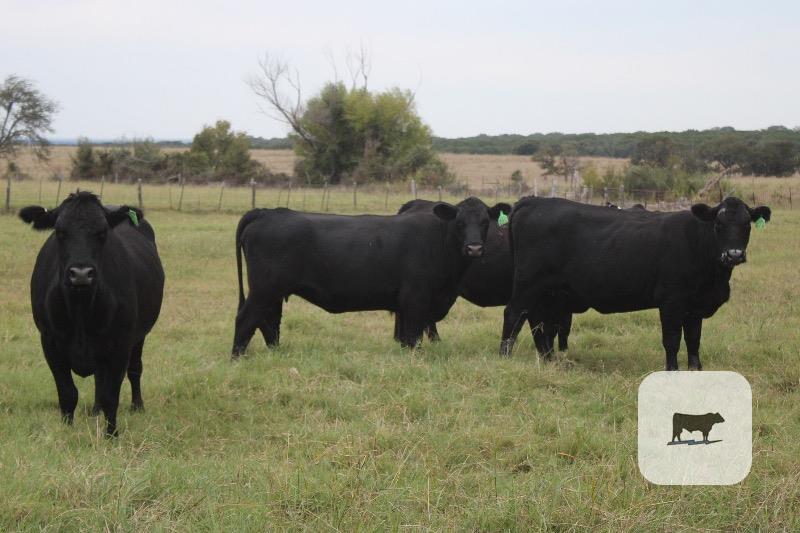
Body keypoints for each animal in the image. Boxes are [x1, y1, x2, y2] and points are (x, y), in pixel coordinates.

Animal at [19, 192, 164, 436]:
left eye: (102, 232)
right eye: (60, 231)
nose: (81, 274)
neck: (81, 310)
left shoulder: (121, 344)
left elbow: (111, 395)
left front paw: (111, 435)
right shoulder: (49, 342)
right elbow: (68, 392)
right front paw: (67, 429)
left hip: (139, 336)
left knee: (135, 369)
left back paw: (137, 406)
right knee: (99, 377)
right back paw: (95, 410)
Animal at [231, 197, 510, 356]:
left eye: (485, 222)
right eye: (460, 222)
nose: (474, 248)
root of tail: (267, 211)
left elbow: (404, 338)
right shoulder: (415, 299)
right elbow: (413, 338)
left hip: (273, 293)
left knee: (269, 322)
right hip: (264, 290)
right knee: (246, 319)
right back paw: (237, 358)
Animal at [500, 196, 771, 370]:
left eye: (747, 224)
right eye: (719, 224)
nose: (734, 254)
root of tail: (533, 201)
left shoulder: (694, 306)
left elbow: (693, 341)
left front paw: (696, 371)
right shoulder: (671, 302)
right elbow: (672, 341)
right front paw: (671, 371)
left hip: (548, 292)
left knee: (537, 321)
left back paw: (547, 360)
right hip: (528, 284)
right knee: (514, 314)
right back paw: (505, 356)